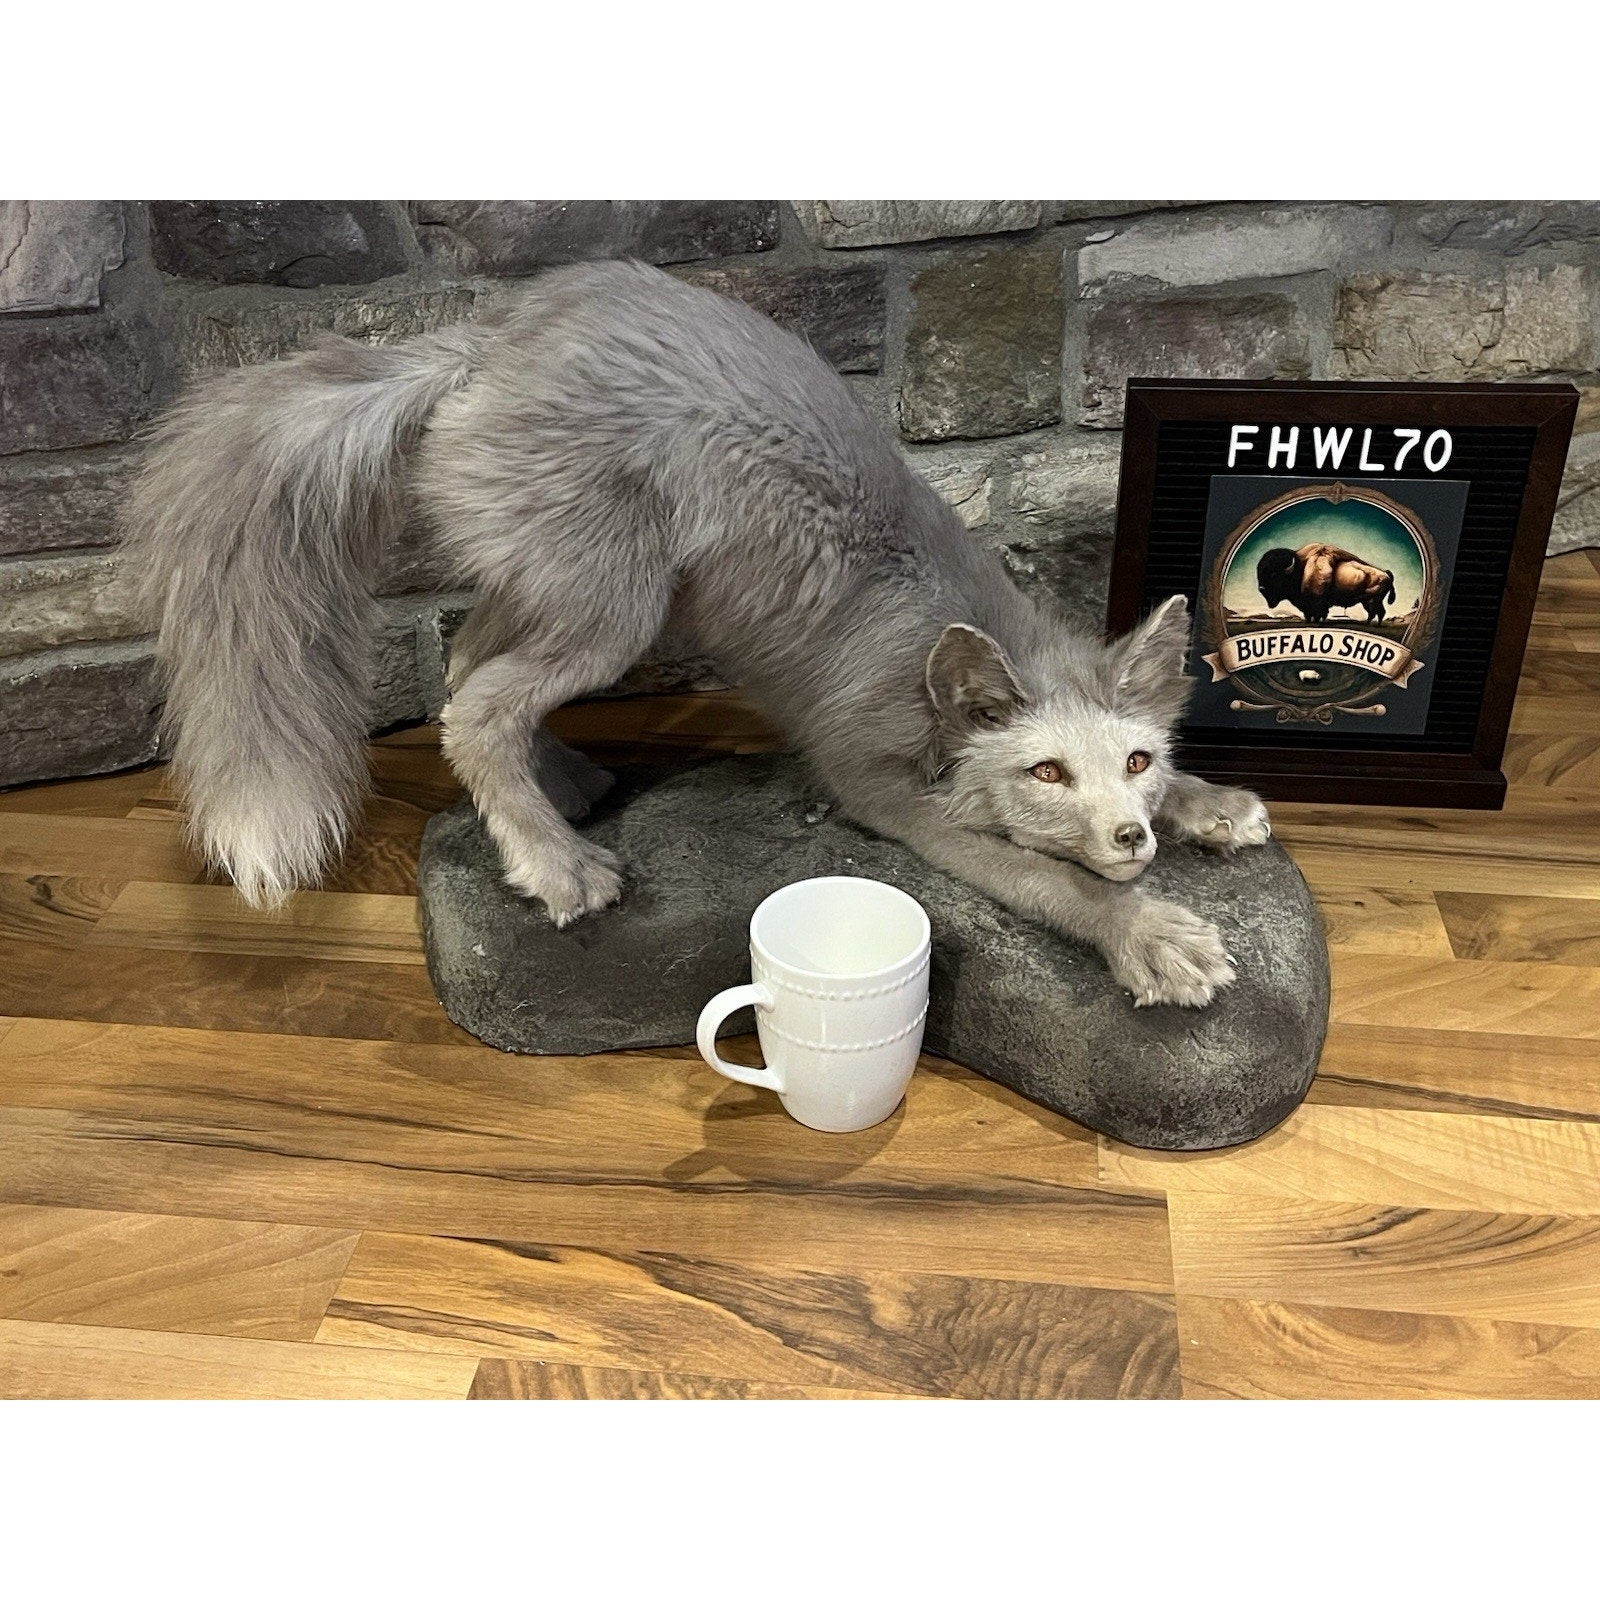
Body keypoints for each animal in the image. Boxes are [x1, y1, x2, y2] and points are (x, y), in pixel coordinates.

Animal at [123, 259, 1272, 1009]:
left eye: (1134, 761)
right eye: (1045, 773)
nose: (1131, 839)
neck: (928, 639)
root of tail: (489, 339)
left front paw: (1210, 806)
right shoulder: (880, 792)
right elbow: (1049, 883)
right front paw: (1150, 933)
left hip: (574, 587)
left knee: (464, 666)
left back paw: (563, 787)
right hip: (614, 608)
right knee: (476, 706)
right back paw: (554, 864)